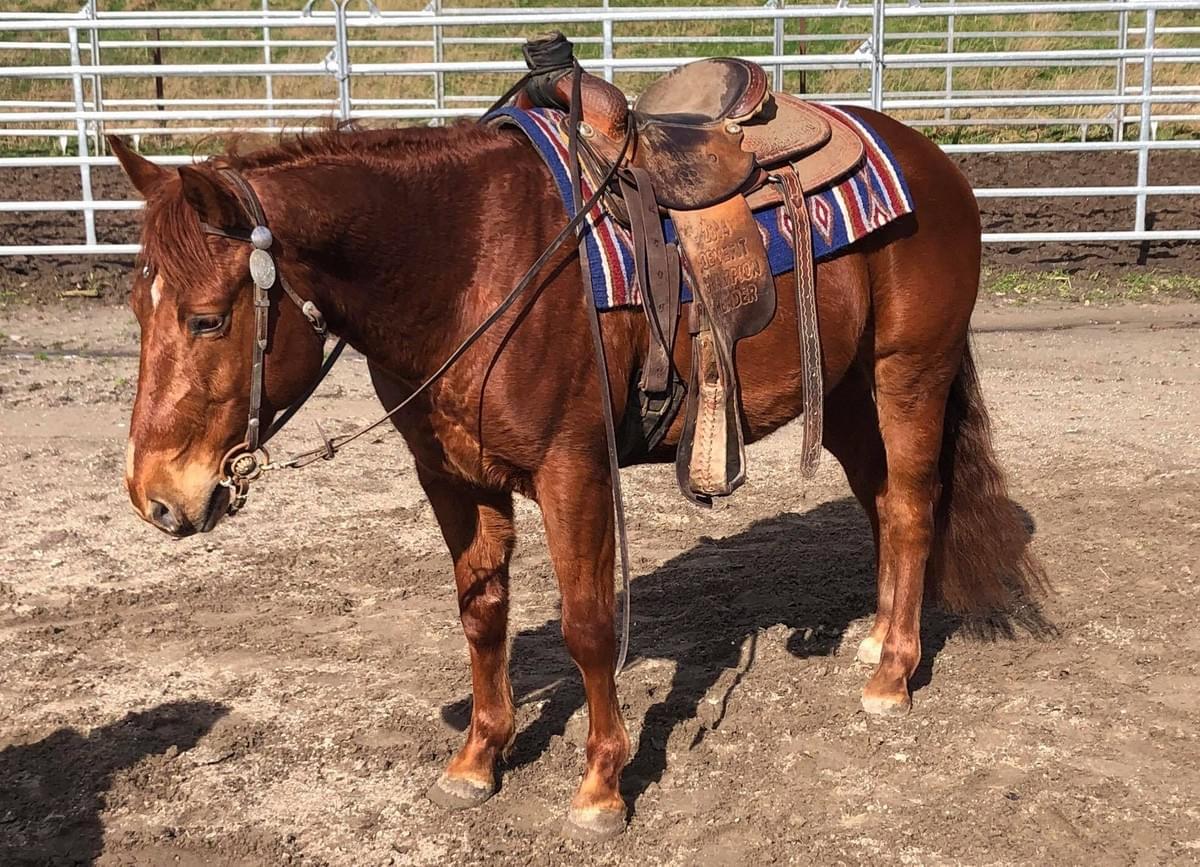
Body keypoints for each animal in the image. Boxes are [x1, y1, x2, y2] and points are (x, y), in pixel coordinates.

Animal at [109, 104, 1043, 838]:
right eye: (135, 308)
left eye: (206, 319)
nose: (157, 499)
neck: (469, 263)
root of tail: (933, 163)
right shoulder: (452, 478)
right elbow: (481, 612)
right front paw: (478, 757)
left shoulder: (574, 471)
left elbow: (590, 626)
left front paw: (602, 785)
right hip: (848, 397)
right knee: (882, 507)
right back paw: (880, 639)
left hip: (907, 377)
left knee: (913, 508)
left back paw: (892, 678)